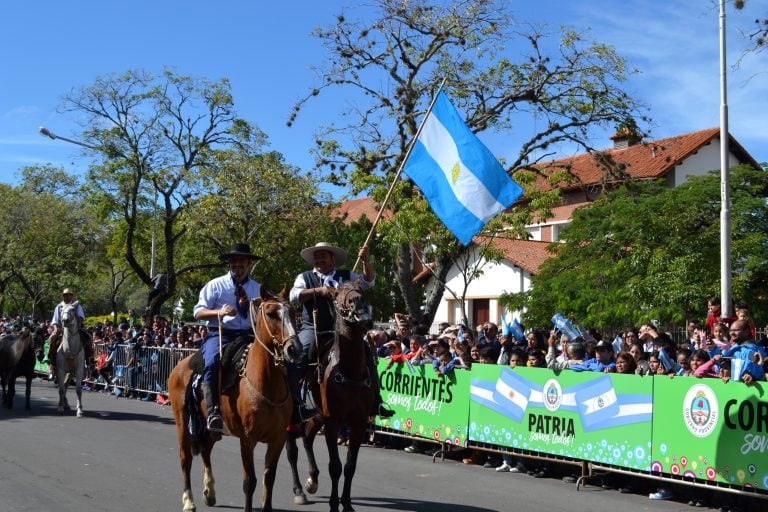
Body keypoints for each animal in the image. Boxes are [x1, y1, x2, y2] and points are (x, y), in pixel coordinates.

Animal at [170, 286, 302, 510]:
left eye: (293, 312)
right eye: (270, 313)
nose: (294, 349)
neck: (265, 383)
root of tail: (180, 365)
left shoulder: (278, 439)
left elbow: (269, 479)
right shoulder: (248, 439)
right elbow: (250, 481)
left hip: (210, 429)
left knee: (206, 451)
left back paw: (209, 492)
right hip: (182, 423)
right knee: (185, 459)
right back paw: (189, 501)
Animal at [284, 280, 376, 512]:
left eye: (362, 288)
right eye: (339, 292)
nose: (357, 303)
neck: (350, 371)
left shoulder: (358, 422)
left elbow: (350, 466)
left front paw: (348, 504)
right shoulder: (333, 422)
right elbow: (335, 466)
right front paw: (335, 504)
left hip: (316, 416)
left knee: (307, 439)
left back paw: (312, 480)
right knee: (292, 450)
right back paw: (298, 490)